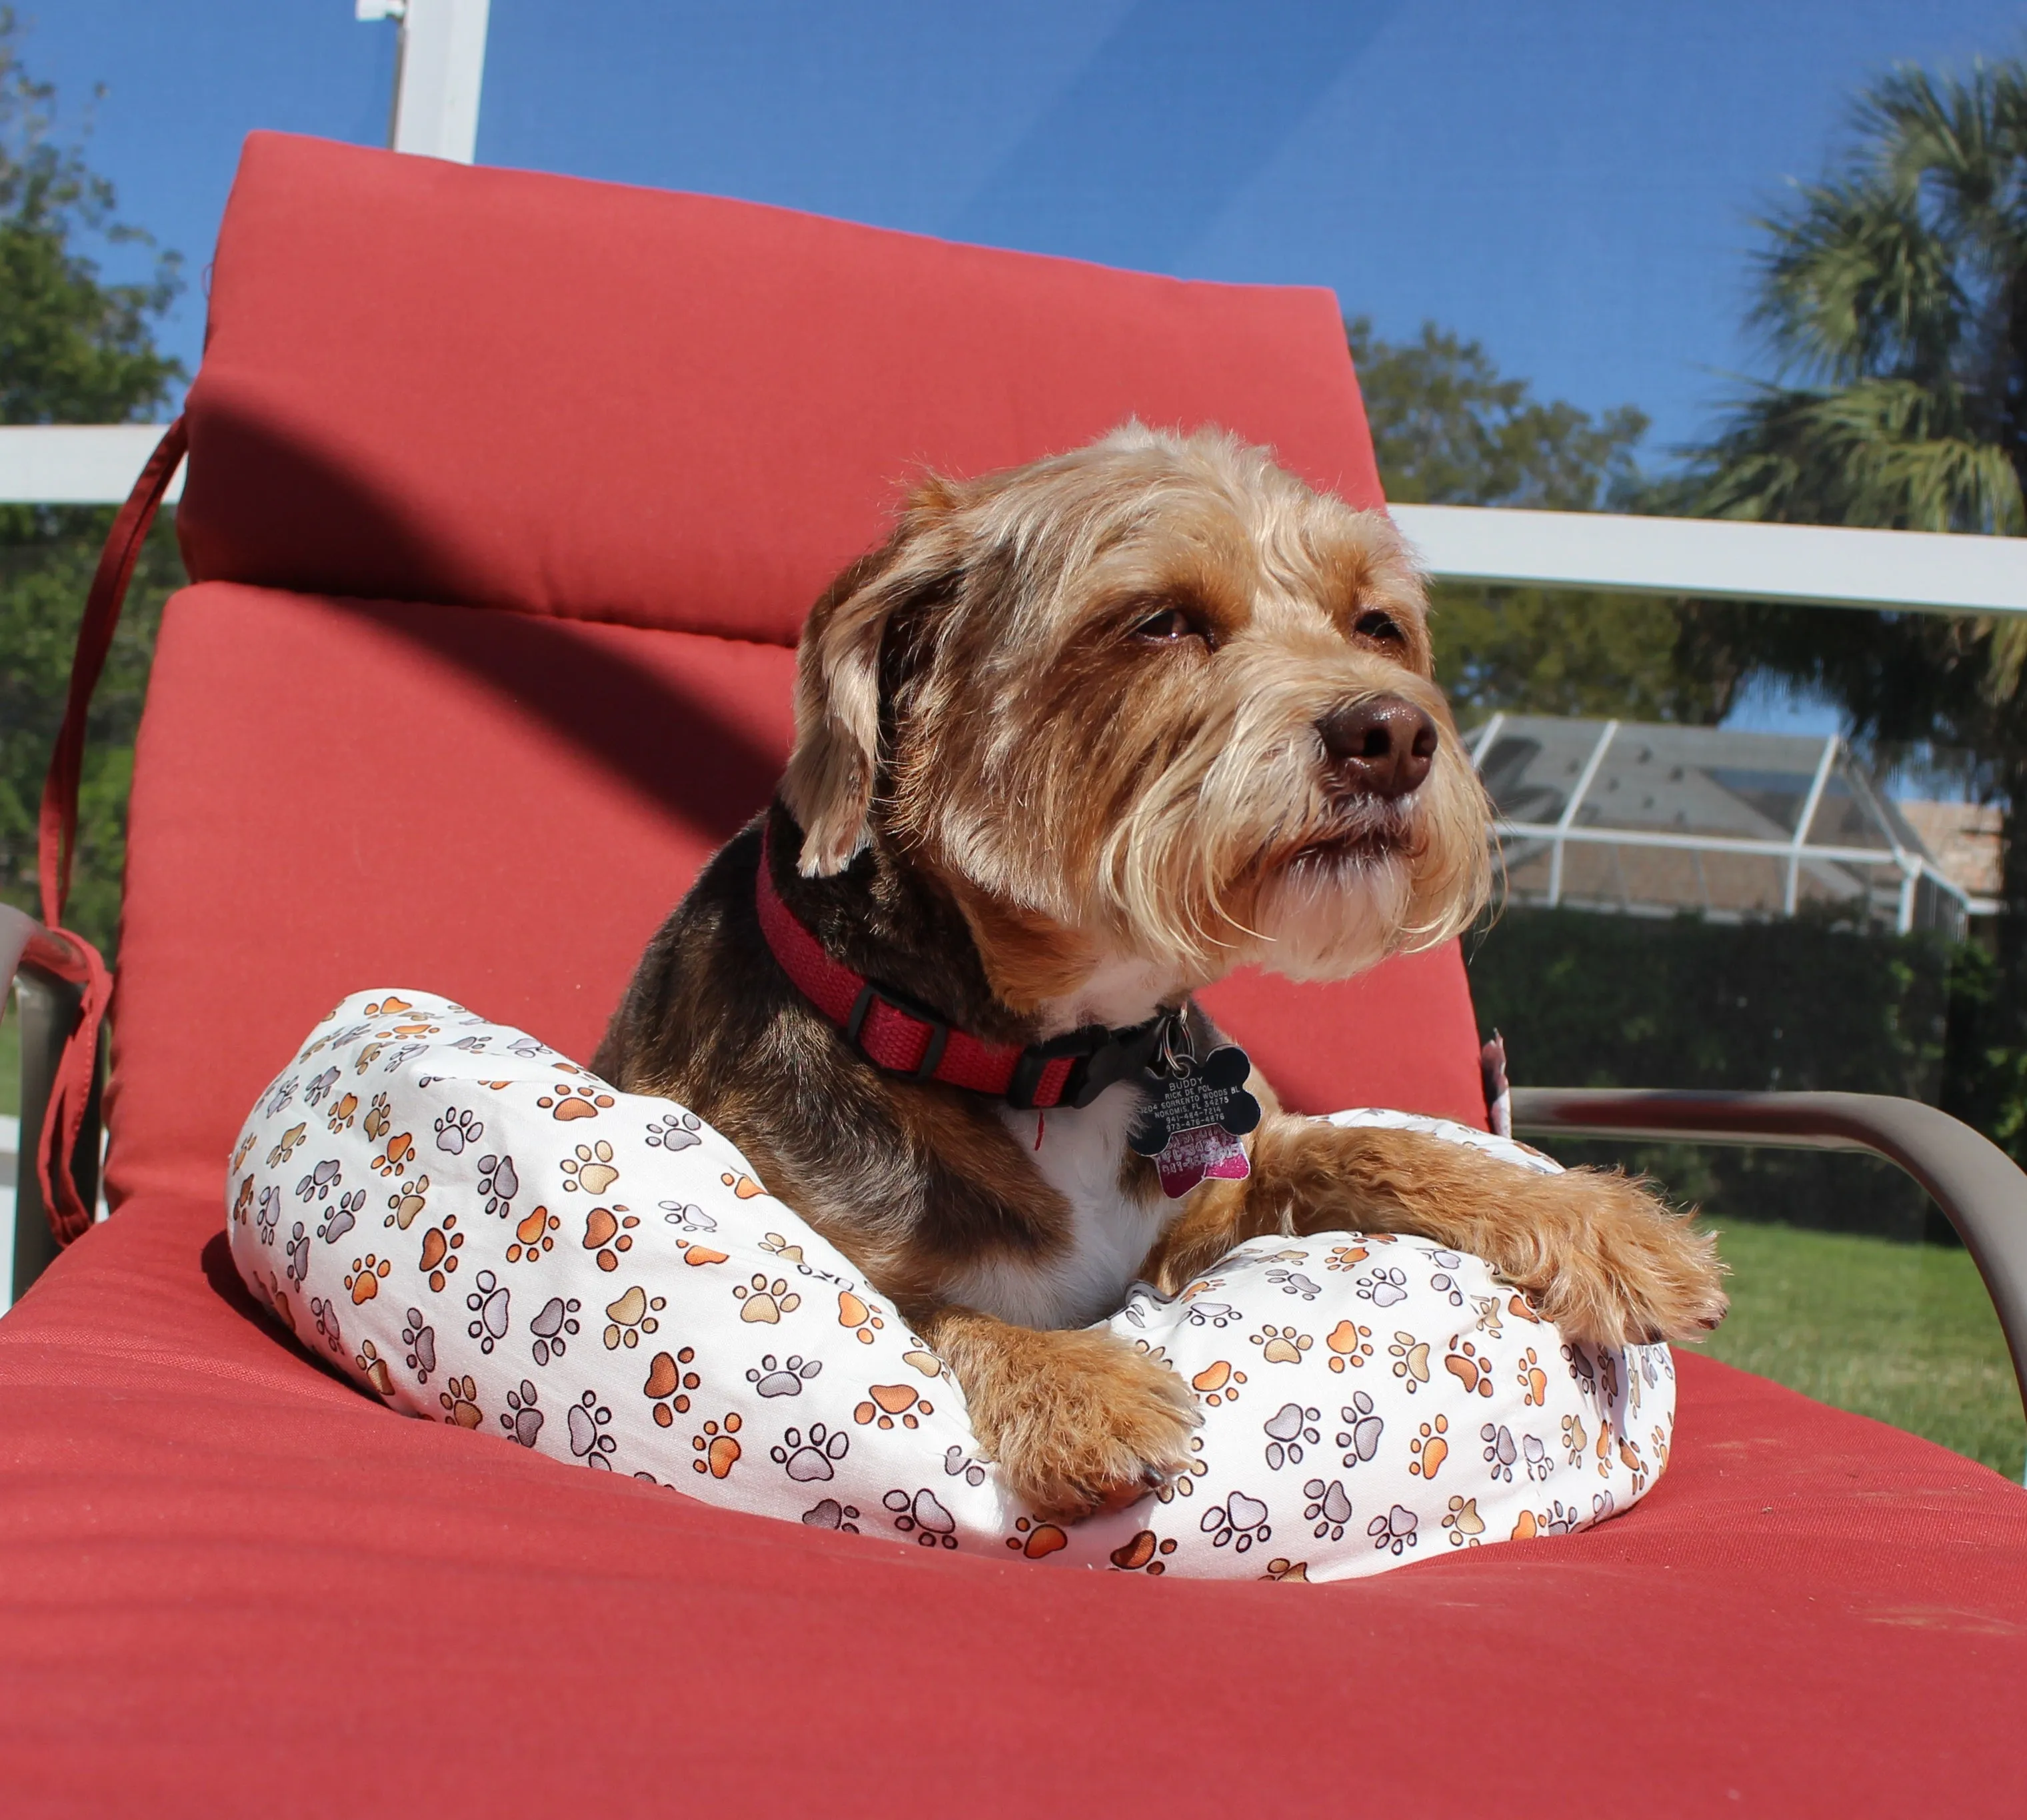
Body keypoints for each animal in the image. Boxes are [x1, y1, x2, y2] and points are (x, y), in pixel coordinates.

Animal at [596, 425, 1726, 1515]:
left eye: (1375, 623)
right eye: (1161, 622)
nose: (1394, 734)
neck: (1065, 1057)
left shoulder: (1228, 1188)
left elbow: (1366, 1143)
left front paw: (1601, 1224)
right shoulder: (851, 1258)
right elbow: (933, 1310)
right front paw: (1074, 1386)